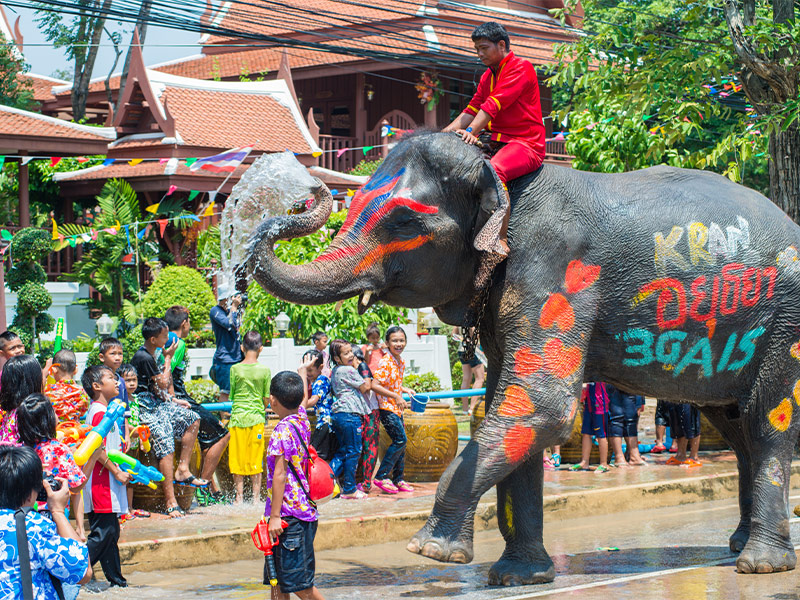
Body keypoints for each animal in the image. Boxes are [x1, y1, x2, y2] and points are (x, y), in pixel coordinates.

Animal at [242, 132, 800, 584]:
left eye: (402, 221)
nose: (308, 192)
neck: (498, 180)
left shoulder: (555, 269)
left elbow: (541, 406)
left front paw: (432, 552)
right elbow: (509, 408)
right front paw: (517, 577)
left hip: (786, 323)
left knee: (767, 422)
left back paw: (760, 564)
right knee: (734, 425)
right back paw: (739, 547)